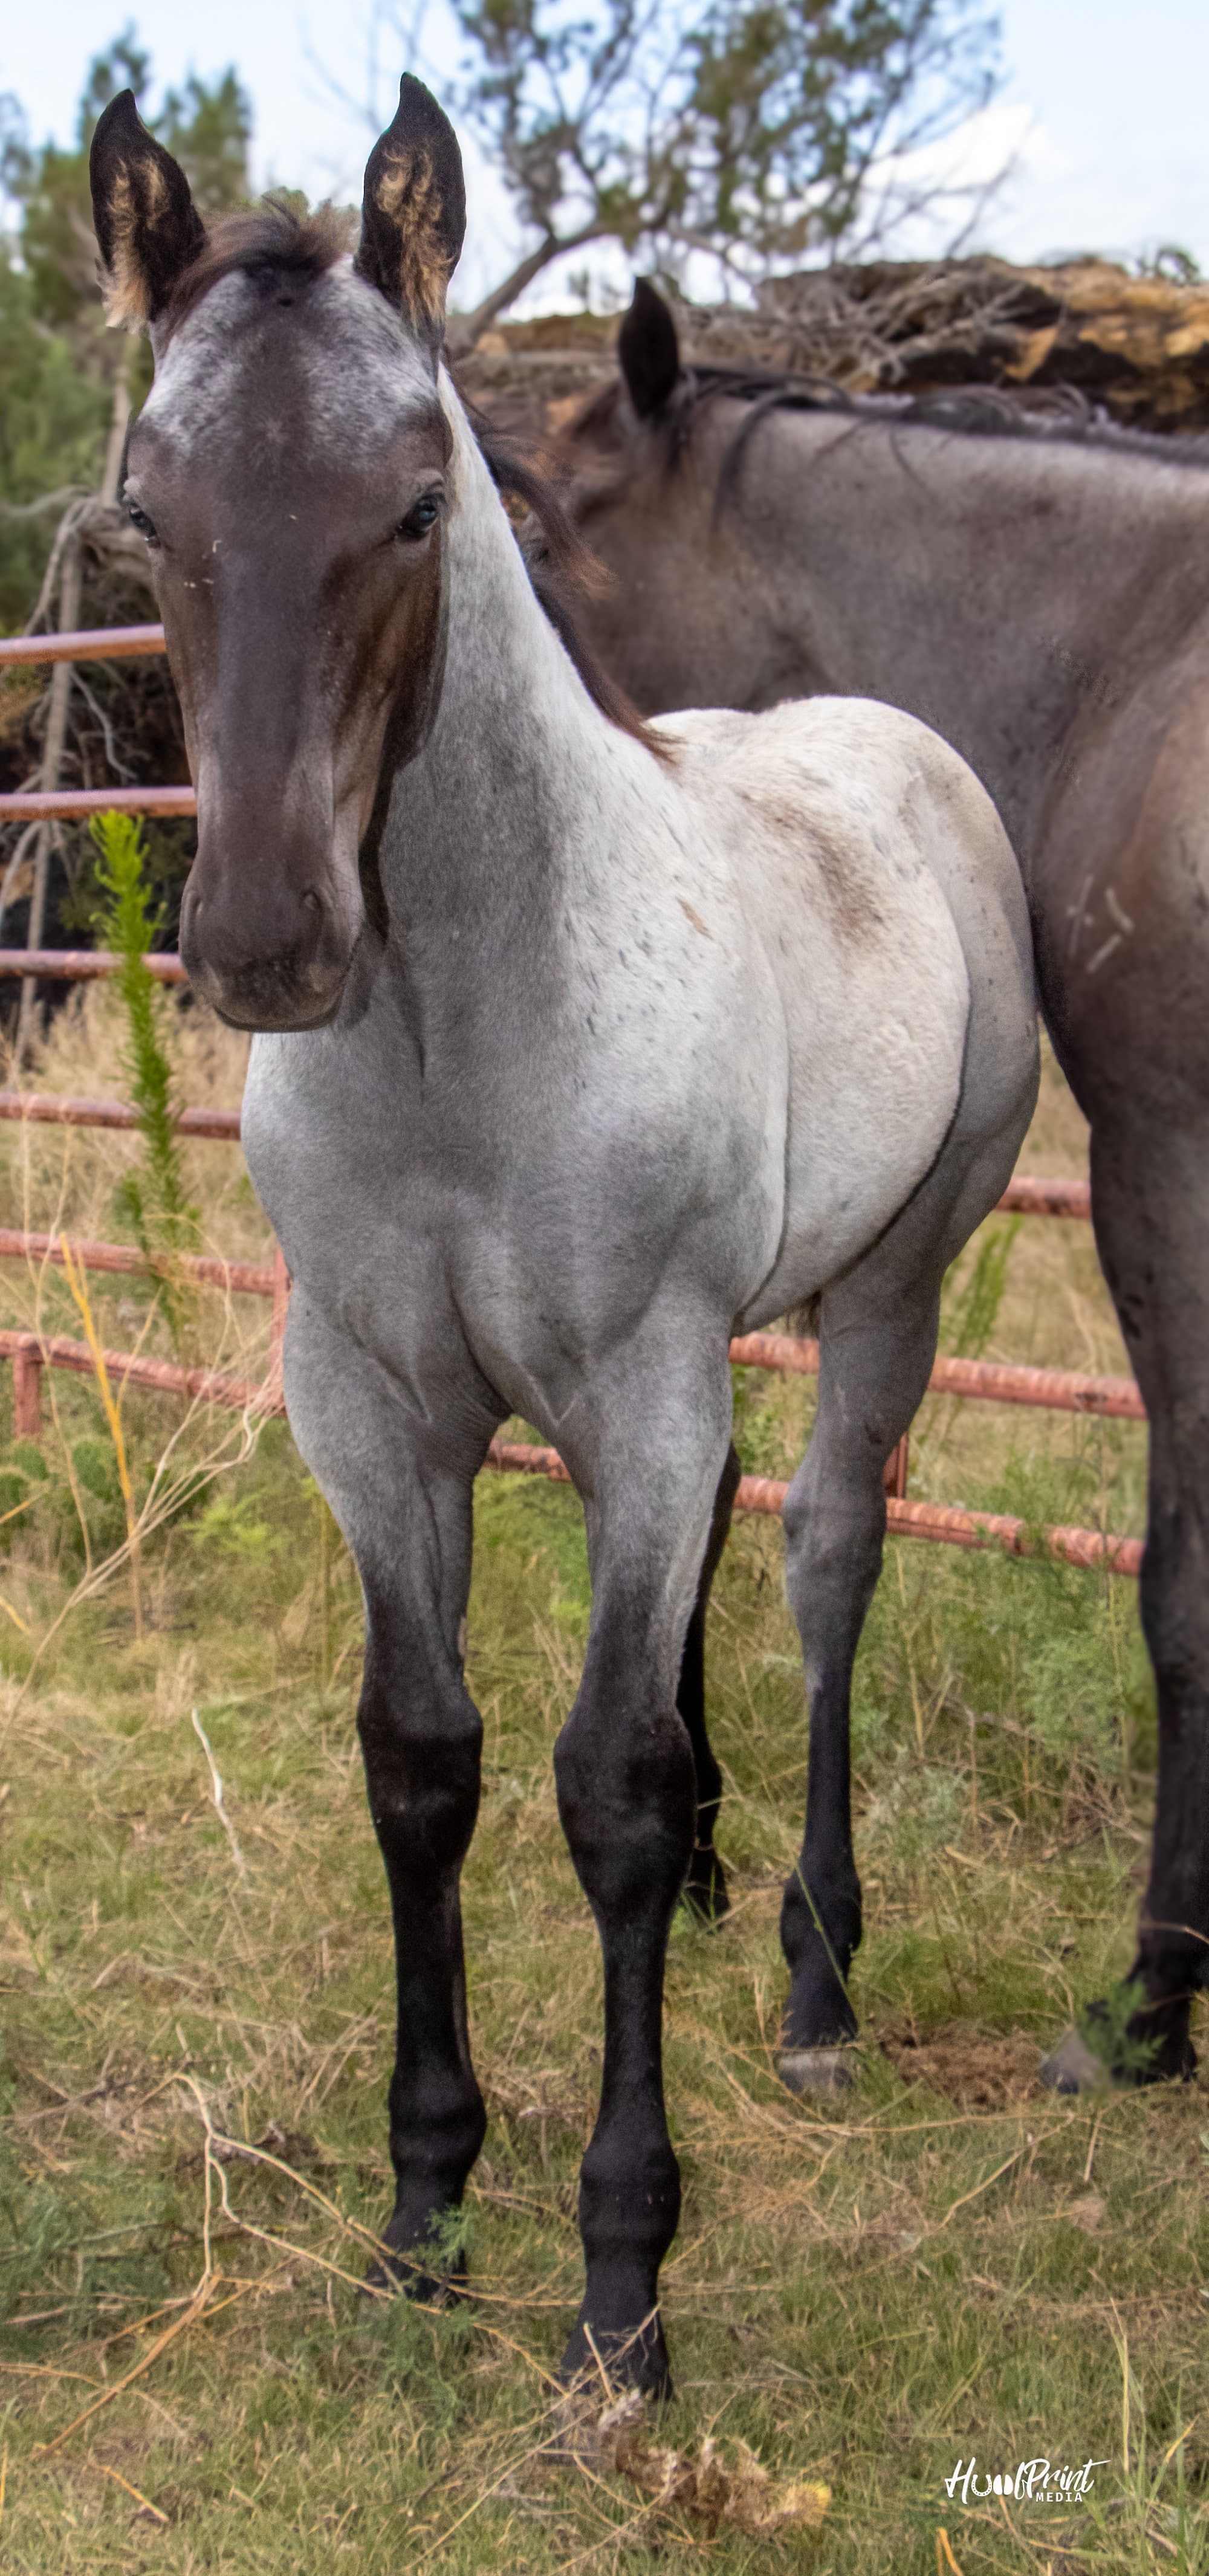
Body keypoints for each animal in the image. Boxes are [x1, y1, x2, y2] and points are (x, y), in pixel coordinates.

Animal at [88, 79, 1037, 2394]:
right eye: (148, 511)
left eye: (421, 502)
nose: (267, 940)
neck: (459, 1033)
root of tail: (887, 741)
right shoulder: (373, 1403)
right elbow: (420, 1762)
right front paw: (426, 2203)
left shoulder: (635, 1381)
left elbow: (597, 1785)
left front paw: (622, 2285)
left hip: (886, 1288)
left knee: (823, 1558)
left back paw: (809, 1979)